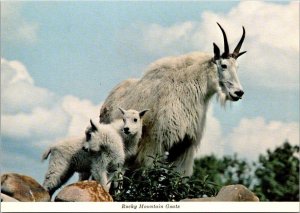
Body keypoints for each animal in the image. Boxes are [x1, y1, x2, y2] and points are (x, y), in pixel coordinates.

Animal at [99, 23, 246, 176]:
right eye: (223, 65)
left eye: (237, 67)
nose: (238, 92)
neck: (188, 91)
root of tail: (108, 101)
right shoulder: (154, 145)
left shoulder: (184, 147)